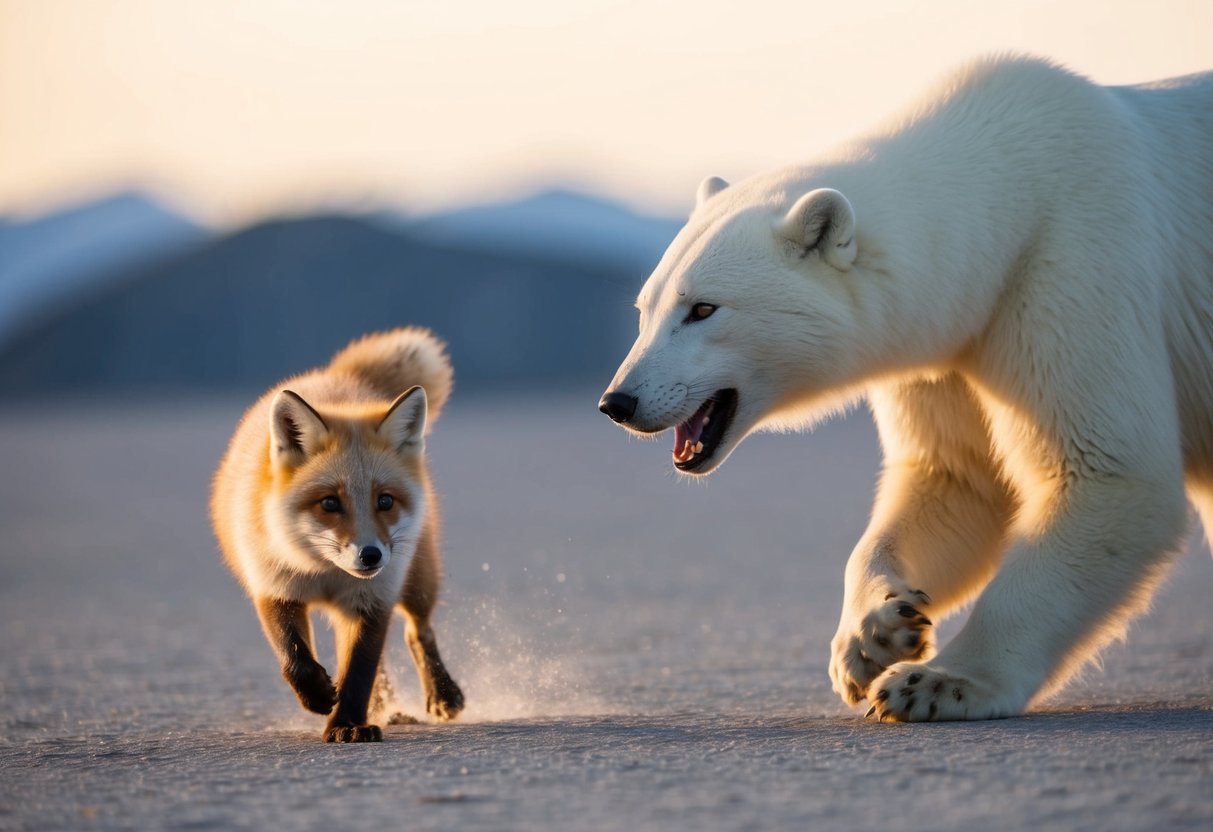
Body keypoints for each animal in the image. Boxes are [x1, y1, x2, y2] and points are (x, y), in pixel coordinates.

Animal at [211, 327, 464, 742]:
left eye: (385, 500)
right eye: (329, 502)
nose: (371, 555)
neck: (325, 571)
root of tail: (338, 379)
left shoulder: (374, 598)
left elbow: (359, 671)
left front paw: (347, 724)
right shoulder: (274, 586)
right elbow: (294, 657)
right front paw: (318, 697)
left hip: (418, 577)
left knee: (418, 631)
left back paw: (441, 695)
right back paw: (385, 707)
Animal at [598, 55, 1213, 720]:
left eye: (704, 308)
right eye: (644, 309)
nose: (619, 402)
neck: (1008, 198)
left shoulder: (1069, 267)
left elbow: (1108, 475)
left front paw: (932, 684)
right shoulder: (953, 349)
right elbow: (956, 481)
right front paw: (873, 638)